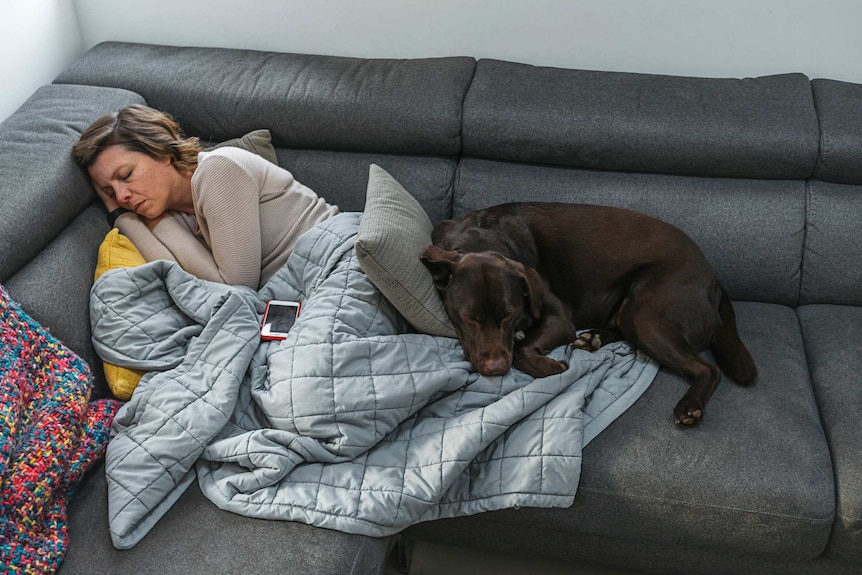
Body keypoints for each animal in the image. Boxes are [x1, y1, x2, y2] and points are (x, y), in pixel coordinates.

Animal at [422, 202, 760, 428]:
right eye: (469, 317)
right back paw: (593, 339)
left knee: (708, 369)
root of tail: (715, 281)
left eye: (509, 313)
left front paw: (550, 367)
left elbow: (520, 347)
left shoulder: (558, 318)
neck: (482, 239)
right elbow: (517, 345)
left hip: (647, 314)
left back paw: (689, 407)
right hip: (631, 313)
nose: (495, 368)